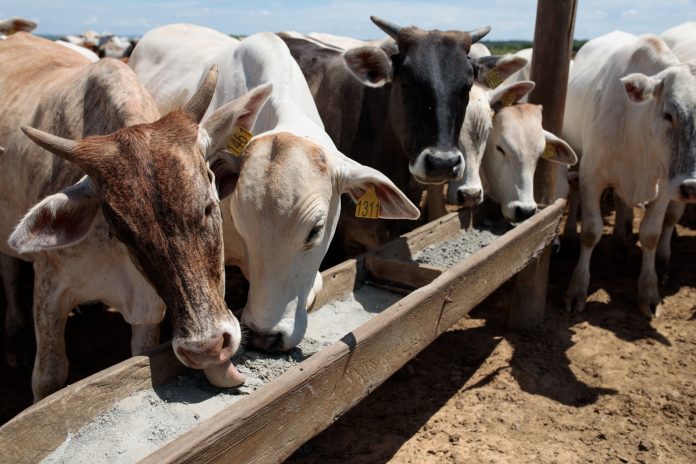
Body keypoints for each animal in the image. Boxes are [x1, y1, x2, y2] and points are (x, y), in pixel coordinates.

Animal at [0, 33, 268, 400]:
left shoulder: (147, 309)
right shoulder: (49, 293)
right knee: (10, 274)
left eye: (208, 206)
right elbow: (48, 379)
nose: (206, 347)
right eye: (123, 232)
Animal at [563, 30, 696, 317]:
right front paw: (577, 288)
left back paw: (621, 244)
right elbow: (590, 231)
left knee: (623, 203)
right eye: (668, 114)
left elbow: (651, 234)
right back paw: (569, 238)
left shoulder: (665, 186)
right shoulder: (592, 175)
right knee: (575, 193)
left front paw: (649, 291)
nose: (692, 187)